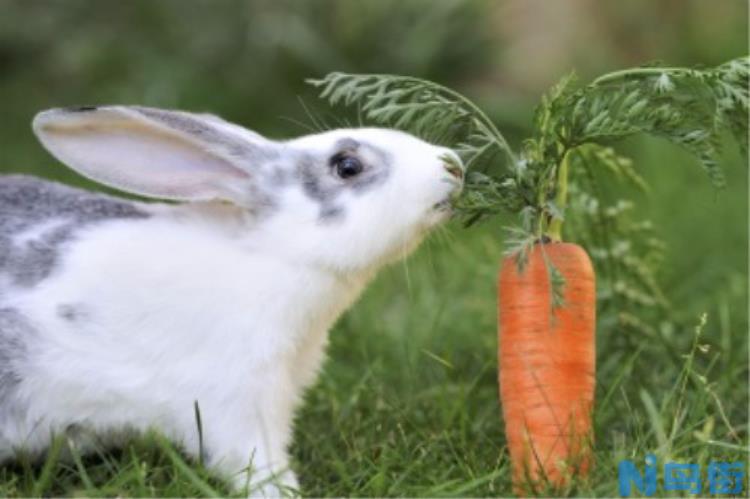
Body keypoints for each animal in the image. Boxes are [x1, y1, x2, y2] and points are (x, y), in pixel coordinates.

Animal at [0, 105, 464, 496]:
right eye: (347, 166)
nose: (454, 165)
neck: (274, 252)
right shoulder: (236, 402)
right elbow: (257, 463)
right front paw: (284, 492)